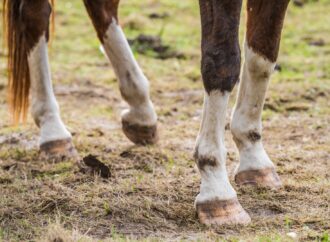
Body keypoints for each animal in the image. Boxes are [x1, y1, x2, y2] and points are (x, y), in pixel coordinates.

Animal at [1, 0, 288, 226]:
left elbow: (262, 56)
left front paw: (253, 158)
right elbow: (223, 61)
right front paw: (217, 190)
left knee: (101, 7)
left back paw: (141, 112)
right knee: (34, 14)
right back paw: (53, 131)